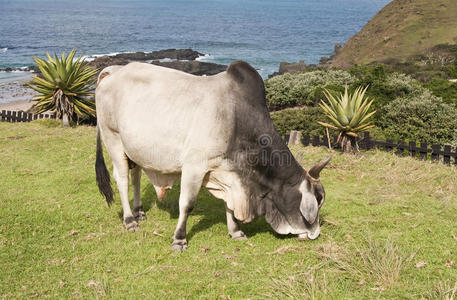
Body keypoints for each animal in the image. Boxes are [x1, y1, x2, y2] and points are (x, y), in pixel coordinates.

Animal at [94, 61, 330, 251]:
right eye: (317, 203)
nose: (316, 234)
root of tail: (113, 70)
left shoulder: (229, 172)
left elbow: (229, 206)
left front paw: (235, 231)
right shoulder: (194, 166)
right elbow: (187, 204)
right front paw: (179, 239)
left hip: (134, 149)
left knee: (136, 177)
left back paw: (139, 212)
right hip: (113, 139)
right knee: (122, 179)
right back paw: (129, 220)